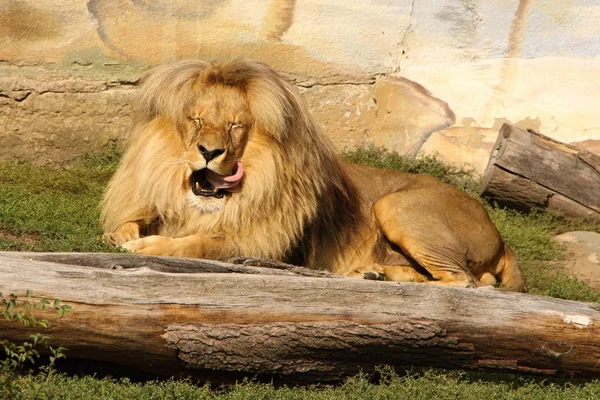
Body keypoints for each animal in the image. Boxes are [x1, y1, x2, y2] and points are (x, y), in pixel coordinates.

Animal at [101, 57, 528, 292]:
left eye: (236, 126)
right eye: (197, 120)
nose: (209, 152)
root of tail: (499, 234)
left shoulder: (264, 247)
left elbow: (200, 245)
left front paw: (146, 248)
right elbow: (126, 225)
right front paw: (124, 235)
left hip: (397, 206)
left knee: (466, 281)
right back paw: (373, 273)